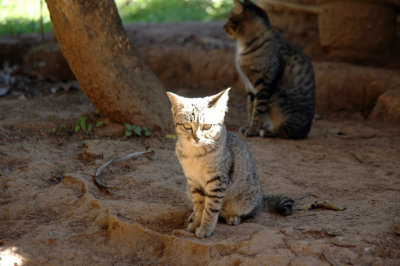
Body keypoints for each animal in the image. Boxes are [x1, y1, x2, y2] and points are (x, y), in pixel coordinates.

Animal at [167, 88, 296, 239]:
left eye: (207, 126)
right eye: (187, 126)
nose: (197, 138)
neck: (195, 154)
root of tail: (261, 198)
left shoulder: (218, 181)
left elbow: (210, 209)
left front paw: (205, 228)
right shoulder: (193, 182)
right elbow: (199, 206)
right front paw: (197, 222)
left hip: (245, 201)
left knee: (250, 212)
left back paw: (234, 217)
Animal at [223, 0, 314, 140]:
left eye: (229, 18)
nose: (223, 26)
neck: (243, 46)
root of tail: (306, 131)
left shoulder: (263, 84)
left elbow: (257, 110)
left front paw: (253, 130)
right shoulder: (250, 88)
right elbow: (250, 109)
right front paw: (248, 126)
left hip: (282, 104)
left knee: (288, 133)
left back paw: (268, 132)